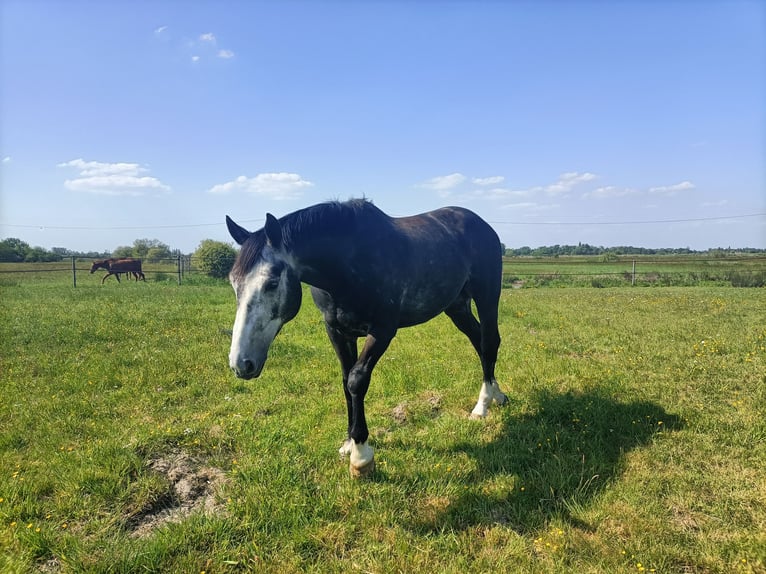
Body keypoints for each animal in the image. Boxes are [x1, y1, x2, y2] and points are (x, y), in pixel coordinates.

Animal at [226, 199, 508, 477]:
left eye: (272, 283)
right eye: (233, 283)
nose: (241, 364)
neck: (347, 264)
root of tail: (482, 225)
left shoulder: (383, 330)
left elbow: (356, 381)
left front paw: (361, 456)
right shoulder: (337, 332)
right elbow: (344, 381)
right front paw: (349, 444)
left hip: (487, 295)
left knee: (489, 342)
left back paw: (483, 405)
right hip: (457, 306)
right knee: (478, 342)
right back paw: (496, 396)